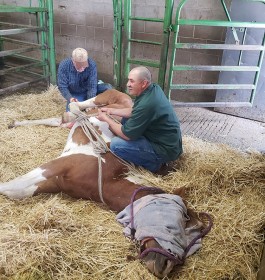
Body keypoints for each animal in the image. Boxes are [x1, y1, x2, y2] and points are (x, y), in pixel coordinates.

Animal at [2, 89, 210, 278]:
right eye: (185, 220)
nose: (165, 266)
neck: (108, 177)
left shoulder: (54, 181)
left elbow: (18, 190)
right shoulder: (54, 167)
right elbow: (11, 186)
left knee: (62, 119)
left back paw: (18, 122)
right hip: (109, 96)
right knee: (84, 105)